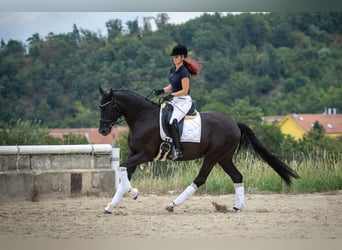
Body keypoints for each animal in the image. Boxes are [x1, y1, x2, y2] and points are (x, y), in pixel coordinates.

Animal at [97, 87, 298, 214]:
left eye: (109, 107)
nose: (103, 131)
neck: (142, 117)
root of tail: (234, 123)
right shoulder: (135, 154)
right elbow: (124, 173)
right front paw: (111, 206)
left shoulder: (145, 155)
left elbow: (122, 168)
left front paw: (133, 193)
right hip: (224, 158)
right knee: (237, 176)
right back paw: (237, 207)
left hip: (213, 156)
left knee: (200, 179)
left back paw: (172, 204)